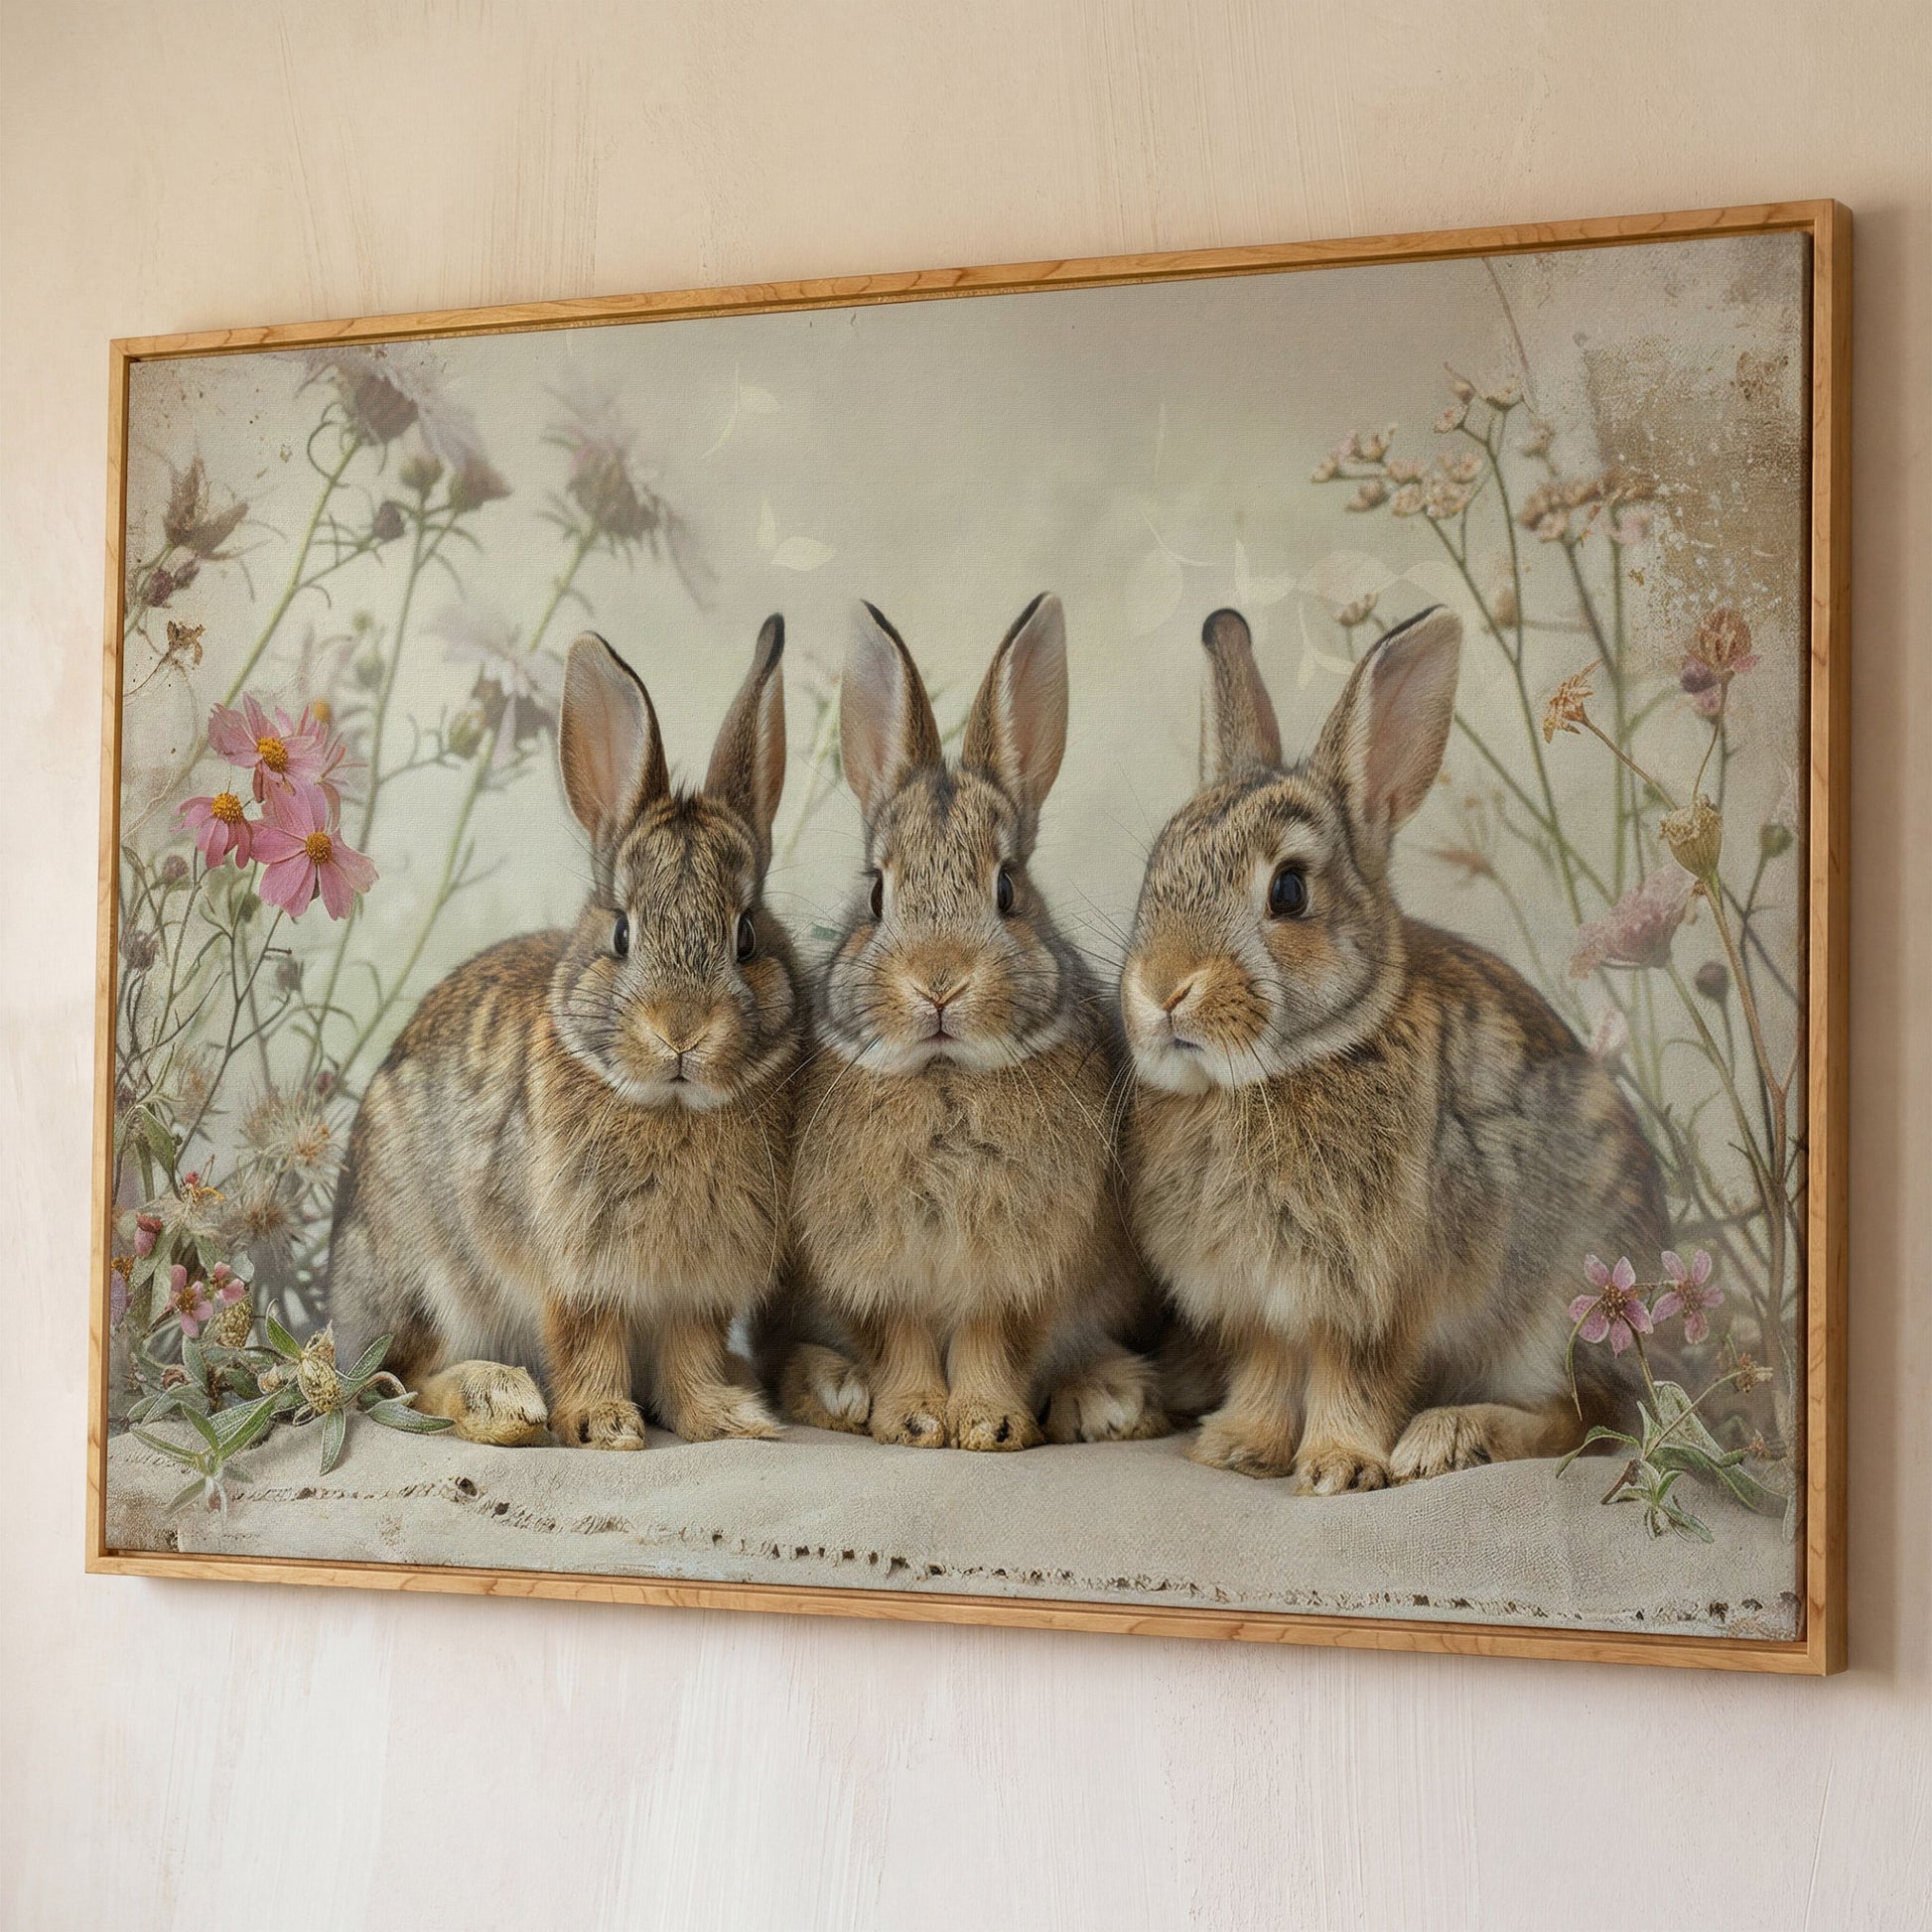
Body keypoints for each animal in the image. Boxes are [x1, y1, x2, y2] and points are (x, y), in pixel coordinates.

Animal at [327, 618, 803, 1450]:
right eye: (621, 933)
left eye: (746, 936)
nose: (681, 1031)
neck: (670, 1108)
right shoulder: (578, 1272)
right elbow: (587, 1340)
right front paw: (606, 1424)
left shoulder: (696, 1289)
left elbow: (690, 1354)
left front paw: (724, 1417)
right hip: (425, 1280)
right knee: (402, 1380)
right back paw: (501, 1401)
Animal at [766, 594, 1168, 1452]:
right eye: (876, 894)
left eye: (1008, 889)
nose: (939, 983)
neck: (945, 1077)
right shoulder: (875, 1269)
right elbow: (903, 1339)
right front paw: (915, 1418)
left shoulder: (1024, 1266)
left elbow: (994, 1339)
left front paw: (987, 1423)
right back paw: (836, 1390)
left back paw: (1106, 1400)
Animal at [1119, 605, 1665, 1493]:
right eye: (1154, 871)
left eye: (1289, 891)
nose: (1163, 990)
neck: (1287, 1068)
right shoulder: (1262, 1302)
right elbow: (1270, 1368)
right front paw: (1238, 1446)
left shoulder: (1376, 1298)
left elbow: (1356, 1376)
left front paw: (1339, 1467)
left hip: (1565, 1309)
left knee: (1585, 1416)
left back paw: (1448, 1437)